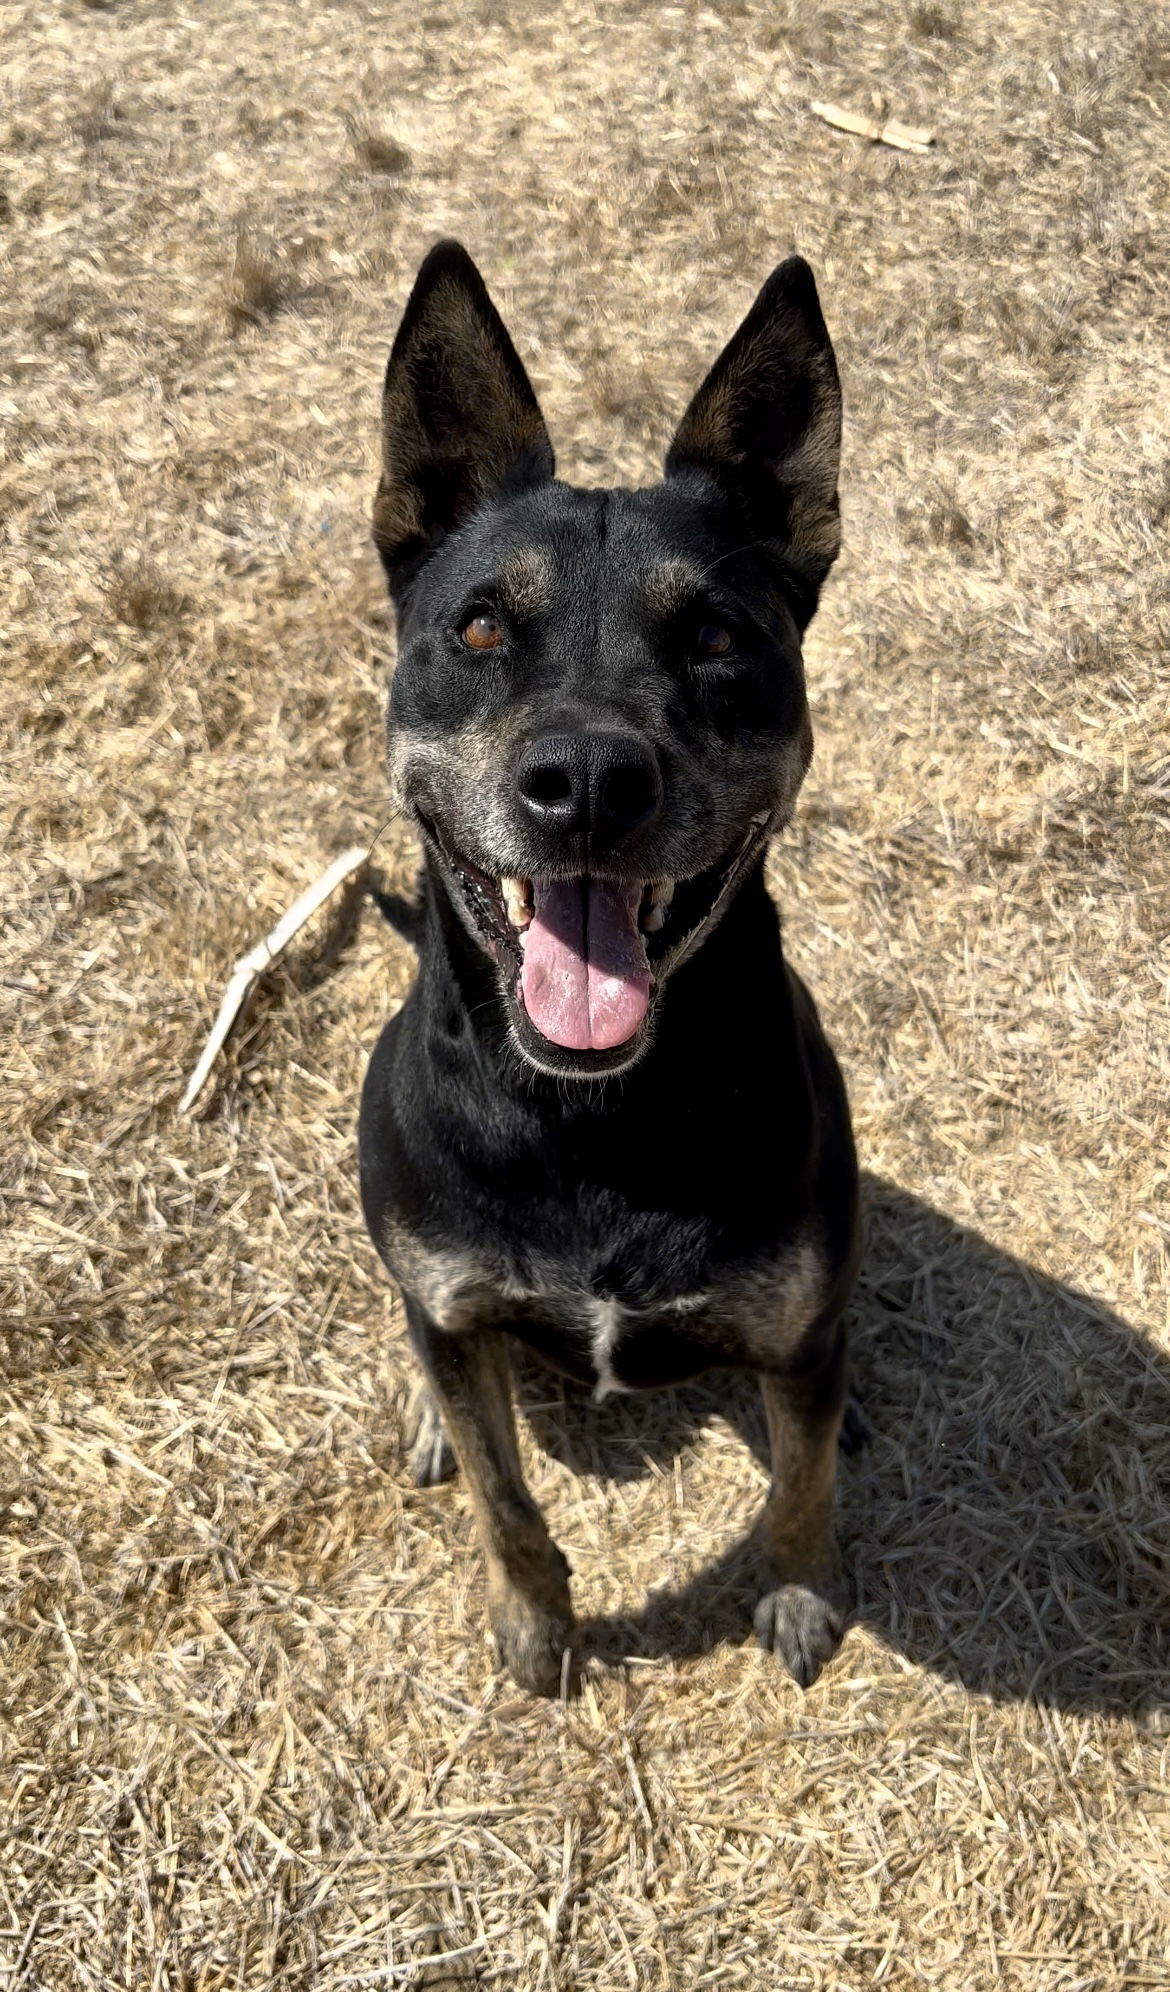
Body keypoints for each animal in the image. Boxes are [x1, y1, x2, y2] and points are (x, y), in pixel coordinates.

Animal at [360, 237, 865, 1697]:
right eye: (478, 630)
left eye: (716, 637)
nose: (587, 781)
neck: (593, 1117)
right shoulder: (456, 1307)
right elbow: (502, 1491)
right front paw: (534, 1621)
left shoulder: (797, 1337)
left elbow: (801, 1475)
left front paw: (800, 1590)